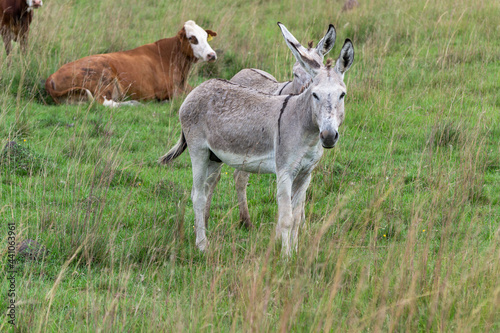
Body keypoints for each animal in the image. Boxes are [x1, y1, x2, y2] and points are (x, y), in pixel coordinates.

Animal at [46, 20, 217, 106]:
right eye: (192, 38)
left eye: (205, 36)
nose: (211, 55)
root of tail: (51, 77)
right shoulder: (166, 91)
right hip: (102, 77)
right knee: (104, 102)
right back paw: (133, 103)